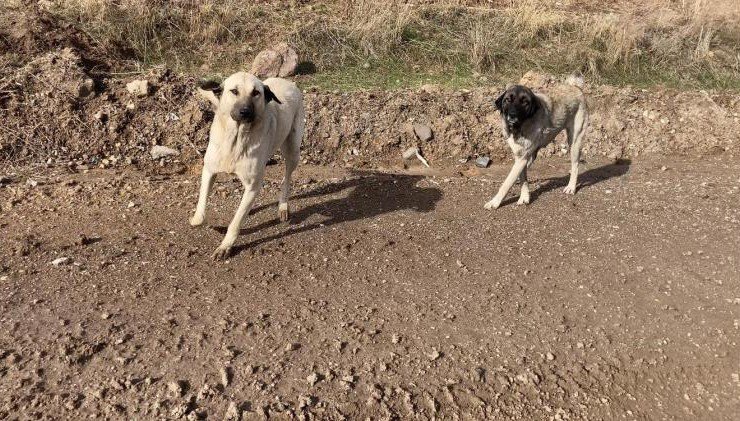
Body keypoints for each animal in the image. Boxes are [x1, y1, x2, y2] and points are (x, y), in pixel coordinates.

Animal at [486, 74, 588, 209]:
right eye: (508, 100)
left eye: (525, 102)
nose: (512, 115)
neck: (520, 127)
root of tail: (575, 87)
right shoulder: (520, 157)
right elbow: (522, 177)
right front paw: (525, 196)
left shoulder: (522, 158)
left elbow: (506, 183)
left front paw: (495, 202)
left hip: (574, 142)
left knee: (575, 165)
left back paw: (571, 187)